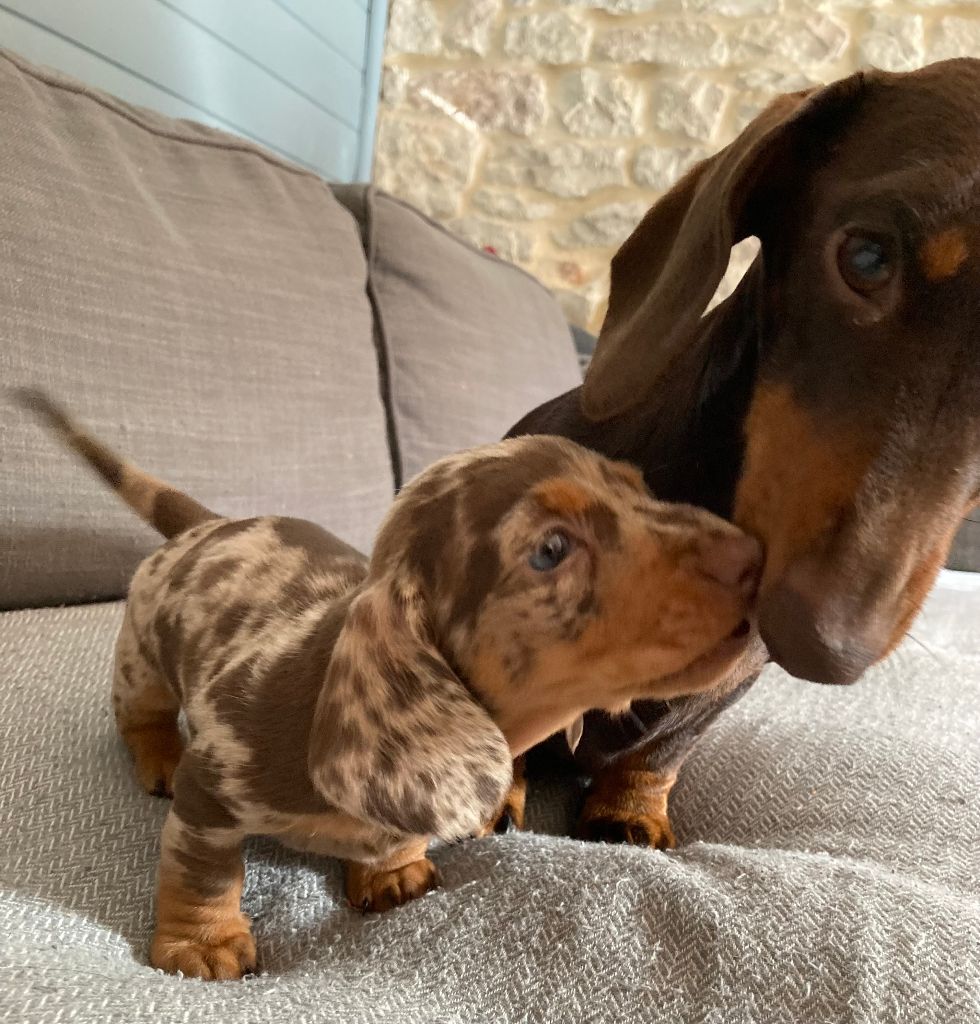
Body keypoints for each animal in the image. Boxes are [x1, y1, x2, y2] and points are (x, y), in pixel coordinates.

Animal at [20, 391, 760, 980]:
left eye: (642, 489)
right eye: (551, 549)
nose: (755, 556)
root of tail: (209, 522)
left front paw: (393, 870)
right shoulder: (212, 793)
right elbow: (204, 873)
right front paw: (200, 945)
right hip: (141, 659)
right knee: (138, 714)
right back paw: (156, 756)